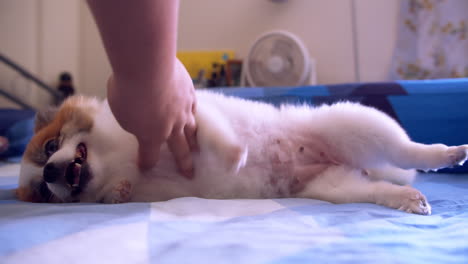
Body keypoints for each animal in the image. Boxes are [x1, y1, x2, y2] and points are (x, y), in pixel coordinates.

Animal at [15, 91, 468, 214]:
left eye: (52, 147)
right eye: (42, 191)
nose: (51, 174)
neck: (115, 159)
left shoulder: (188, 116)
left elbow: (215, 134)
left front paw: (234, 155)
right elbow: (119, 194)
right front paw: (117, 193)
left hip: (356, 123)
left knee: (408, 153)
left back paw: (446, 154)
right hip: (334, 186)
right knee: (376, 189)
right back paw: (408, 198)